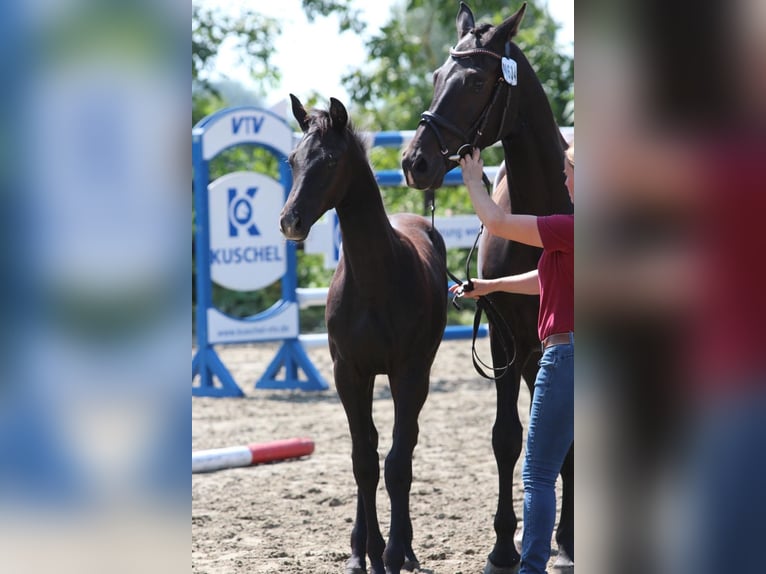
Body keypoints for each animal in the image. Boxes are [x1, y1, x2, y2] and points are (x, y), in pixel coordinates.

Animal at [280, 95, 448, 574]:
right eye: (293, 159)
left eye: (331, 160)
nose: (290, 221)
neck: (375, 279)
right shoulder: (348, 372)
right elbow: (363, 462)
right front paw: (367, 552)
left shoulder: (408, 373)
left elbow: (395, 463)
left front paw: (392, 553)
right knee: (370, 448)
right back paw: (362, 549)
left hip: (414, 376)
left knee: (403, 447)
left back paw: (405, 549)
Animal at [401, 3, 574, 573]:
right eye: (437, 76)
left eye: (477, 81)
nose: (415, 162)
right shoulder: (505, 339)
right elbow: (507, 439)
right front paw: (502, 546)